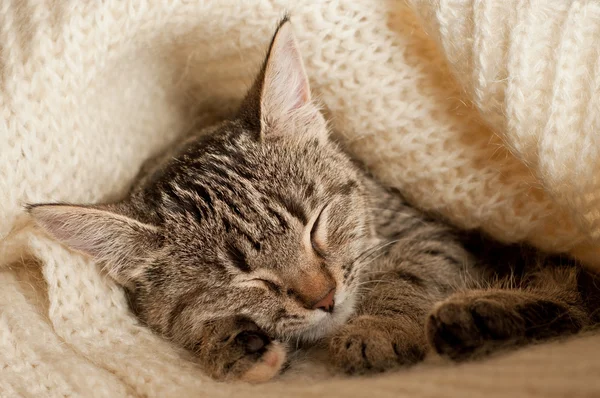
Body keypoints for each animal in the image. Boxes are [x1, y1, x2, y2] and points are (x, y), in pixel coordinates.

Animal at [28, 18, 600, 382]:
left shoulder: (431, 233)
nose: (324, 298)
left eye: (317, 223)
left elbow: (406, 275)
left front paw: (377, 327)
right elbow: (185, 322)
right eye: (247, 279)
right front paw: (230, 342)